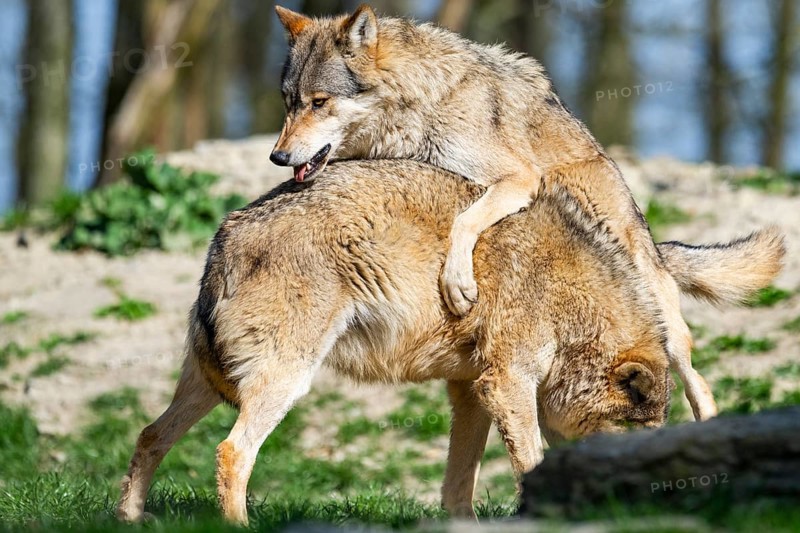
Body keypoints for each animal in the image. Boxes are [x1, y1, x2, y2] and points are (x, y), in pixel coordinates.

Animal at [116, 160, 784, 524]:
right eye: (630, 444)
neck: (573, 300)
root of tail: (225, 232)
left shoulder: (470, 391)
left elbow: (458, 485)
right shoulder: (506, 384)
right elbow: (529, 462)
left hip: (208, 383)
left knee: (149, 435)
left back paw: (128, 519)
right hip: (284, 381)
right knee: (232, 453)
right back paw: (238, 527)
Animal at [269, 5, 726, 421]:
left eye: (320, 102)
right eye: (289, 102)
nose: (278, 156)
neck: (419, 106)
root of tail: (652, 241)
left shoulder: (519, 179)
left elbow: (464, 220)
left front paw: (457, 283)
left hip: (663, 324)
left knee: (697, 381)